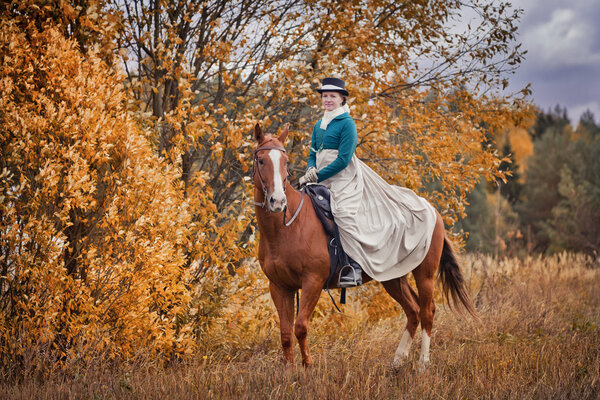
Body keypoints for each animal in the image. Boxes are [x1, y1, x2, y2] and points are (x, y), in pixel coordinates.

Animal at [251, 123, 476, 368]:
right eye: (261, 160)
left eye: (285, 162)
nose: (277, 201)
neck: (287, 227)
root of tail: (431, 209)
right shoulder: (279, 286)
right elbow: (285, 333)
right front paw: (289, 372)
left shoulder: (313, 281)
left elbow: (300, 327)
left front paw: (308, 366)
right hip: (393, 278)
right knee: (414, 310)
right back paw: (397, 361)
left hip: (424, 274)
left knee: (427, 311)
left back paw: (423, 363)